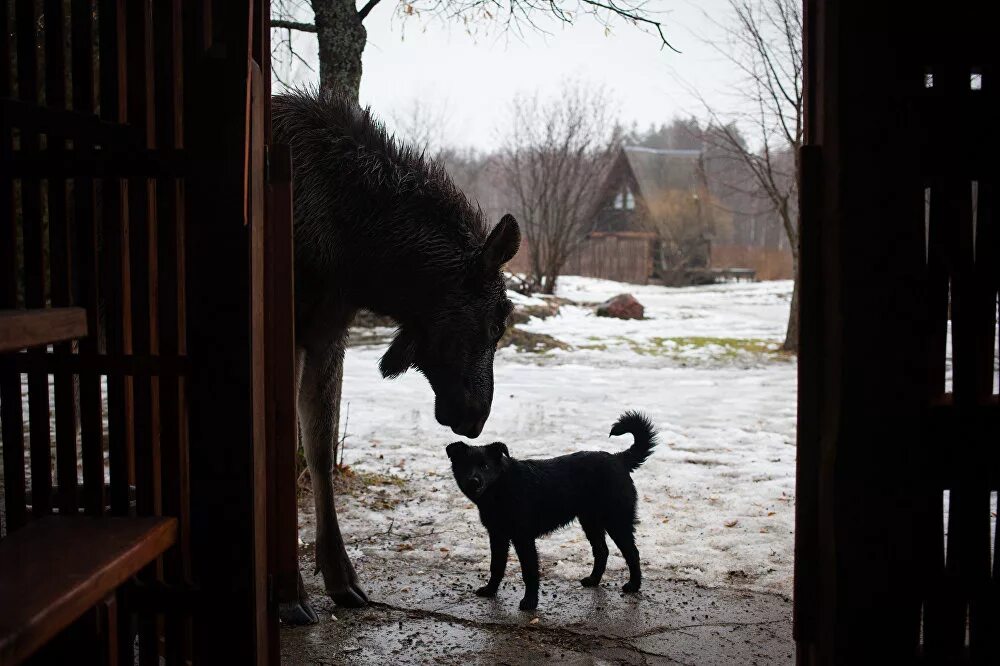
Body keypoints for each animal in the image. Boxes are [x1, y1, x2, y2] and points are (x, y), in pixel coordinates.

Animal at [274, 89, 524, 624]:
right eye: (496, 323)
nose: (475, 416)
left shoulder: (326, 331)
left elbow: (320, 451)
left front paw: (341, 578)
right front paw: (288, 593)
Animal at [446, 412, 656, 608]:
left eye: (485, 466)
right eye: (465, 466)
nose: (474, 481)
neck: (501, 488)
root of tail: (619, 459)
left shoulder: (523, 538)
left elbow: (529, 571)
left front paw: (530, 602)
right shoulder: (498, 535)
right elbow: (496, 565)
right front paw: (490, 590)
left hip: (616, 520)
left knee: (632, 553)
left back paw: (634, 585)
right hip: (591, 521)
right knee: (602, 551)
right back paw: (593, 580)